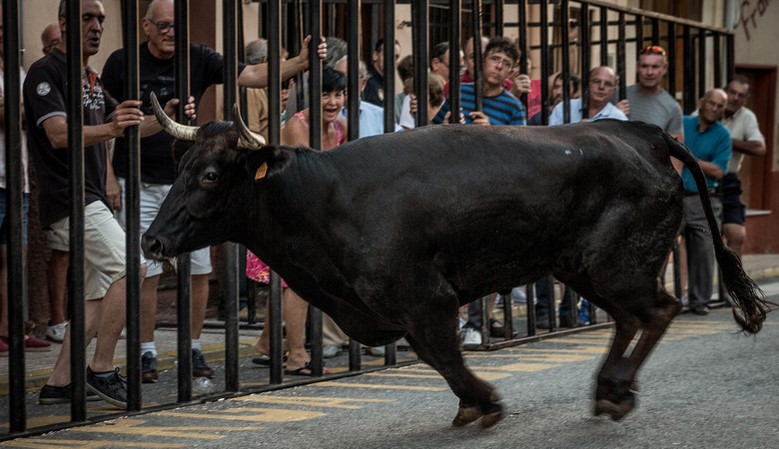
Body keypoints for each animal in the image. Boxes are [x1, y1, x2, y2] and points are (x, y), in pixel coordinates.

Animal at [142, 118, 768, 428]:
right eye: (182, 165)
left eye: (211, 174)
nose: (152, 239)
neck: (323, 198)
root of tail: (647, 133)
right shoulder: (408, 307)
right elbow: (437, 358)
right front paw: (472, 404)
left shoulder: (426, 299)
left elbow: (443, 354)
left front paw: (483, 404)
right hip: (584, 269)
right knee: (629, 320)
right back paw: (609, 389)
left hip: (617, 265)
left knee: (657, 310)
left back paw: (615, 392)